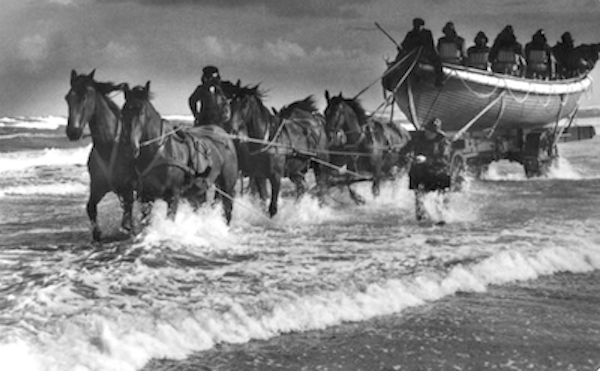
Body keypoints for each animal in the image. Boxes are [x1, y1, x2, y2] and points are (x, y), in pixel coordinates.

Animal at [64, 70, 135, 241]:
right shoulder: (97, 187)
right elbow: (90, 207)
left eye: (85, 97)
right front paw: (97, 233)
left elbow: (128, 212)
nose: (73, 132)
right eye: (68, 98)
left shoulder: (128, 188)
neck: (108, 146)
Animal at [123, 82, 238, 224]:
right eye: (123, 111)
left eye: (142, 112)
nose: (131, 145)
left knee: (228, 209)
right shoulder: (146, 196)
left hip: (227, 186)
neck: (161, 151)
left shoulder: (173, 196)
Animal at [227, 84, 328, 218]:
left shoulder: (276, 176)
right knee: (302, 188)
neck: (267, 139)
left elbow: (272, 207)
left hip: (320, 165)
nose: (231, 129)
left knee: (322, 188)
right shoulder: (259, 176)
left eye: (245, 104)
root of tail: (316, 122)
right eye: (232, 103)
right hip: (295, 171)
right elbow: (263, 200)